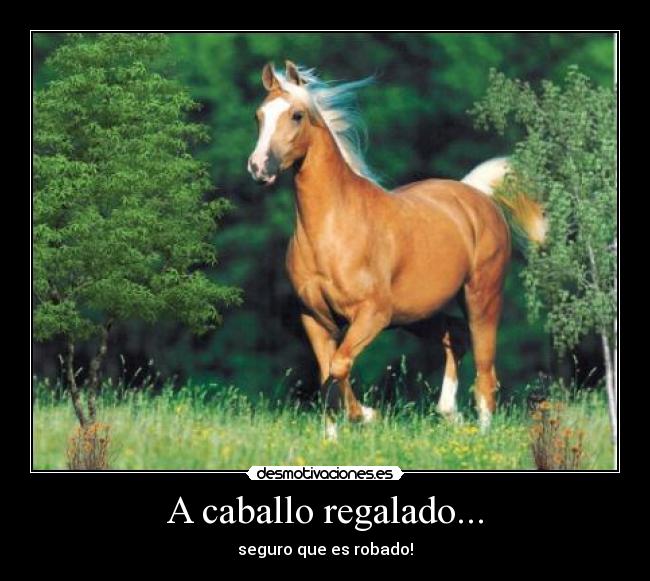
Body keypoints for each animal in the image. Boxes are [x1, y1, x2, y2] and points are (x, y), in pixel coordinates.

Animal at [247, 61, 545, 438]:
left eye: (297, 115)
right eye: (259, 115)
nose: (259, 167)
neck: (332, 228)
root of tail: (477, 195)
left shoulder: (373, 314)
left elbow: (340, 366)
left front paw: (367, 415)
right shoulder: (315, 318)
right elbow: (329, 374)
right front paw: (331, 438)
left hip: (481, 298)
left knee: (485, 374)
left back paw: (482, 433)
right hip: (417, 313)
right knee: (456, 337)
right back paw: (449, 412)